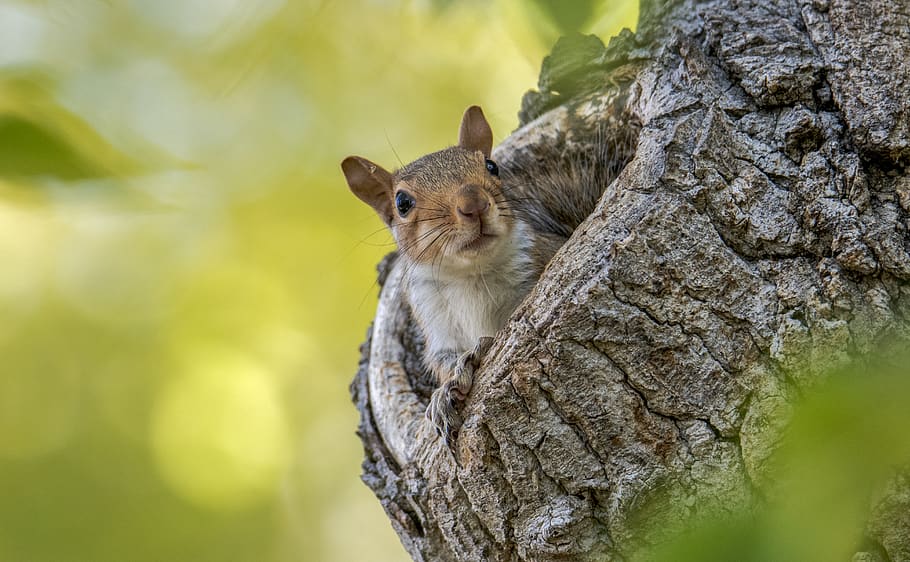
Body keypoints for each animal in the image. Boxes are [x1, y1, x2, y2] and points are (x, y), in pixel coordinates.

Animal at [342, 105, 625, 448]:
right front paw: (444, 393)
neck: (472, 274)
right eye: (402, 203)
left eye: (492, 166)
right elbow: (443, 360)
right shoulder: (434, 319)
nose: (473, 203)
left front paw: (478, 352)